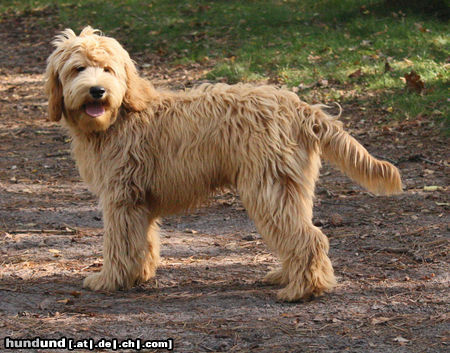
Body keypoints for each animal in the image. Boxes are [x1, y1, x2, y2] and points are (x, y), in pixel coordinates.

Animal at [44, 26, 402, 300]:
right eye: (78, 69)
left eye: (107, 69)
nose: (97, 91)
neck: (121, 114)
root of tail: (300, 107)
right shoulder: (138, 200)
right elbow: (143, 241)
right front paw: (139, 275)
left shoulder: (120, 197)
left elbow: (118, 243)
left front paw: (109, 280)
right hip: (290, 186)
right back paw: (289, 276)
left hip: (268, 186)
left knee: (308, 238)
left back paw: (301, 290)